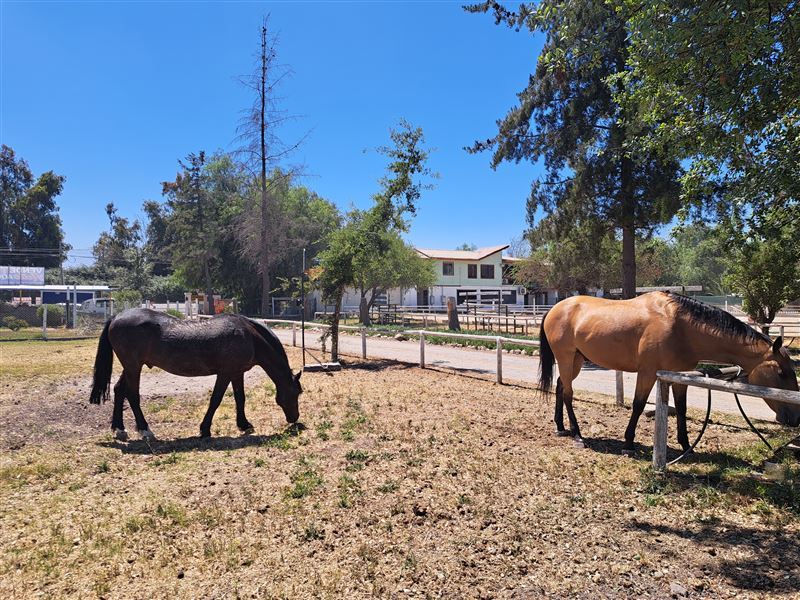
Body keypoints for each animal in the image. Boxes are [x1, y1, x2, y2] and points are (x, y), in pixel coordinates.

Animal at [87, 310, 300, 440]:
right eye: (297, 392)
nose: (294, 418)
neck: (249, 336)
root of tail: (116, 317)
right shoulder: (225, 373)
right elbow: (216, 399)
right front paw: (205, 429)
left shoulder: (236, 372)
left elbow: (240, 398)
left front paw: (244, 424)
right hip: (133, 367)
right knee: (132, 395)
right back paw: (145, 430)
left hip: (131, 367)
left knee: (118, 390)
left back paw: (119, 429)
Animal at [536, 292, 800, 454]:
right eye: (781, 372)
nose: (795, 417)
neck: (681, 327)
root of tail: (554, 309)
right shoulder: (648, 373)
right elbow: (638, 405)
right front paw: (628, 442)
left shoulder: (679, 376)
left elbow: (681, 409)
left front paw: (686, 446)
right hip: (566, 358)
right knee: (568, 393)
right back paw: (577, 434)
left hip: (577, 360)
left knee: (560, 386)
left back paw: (561, 426)